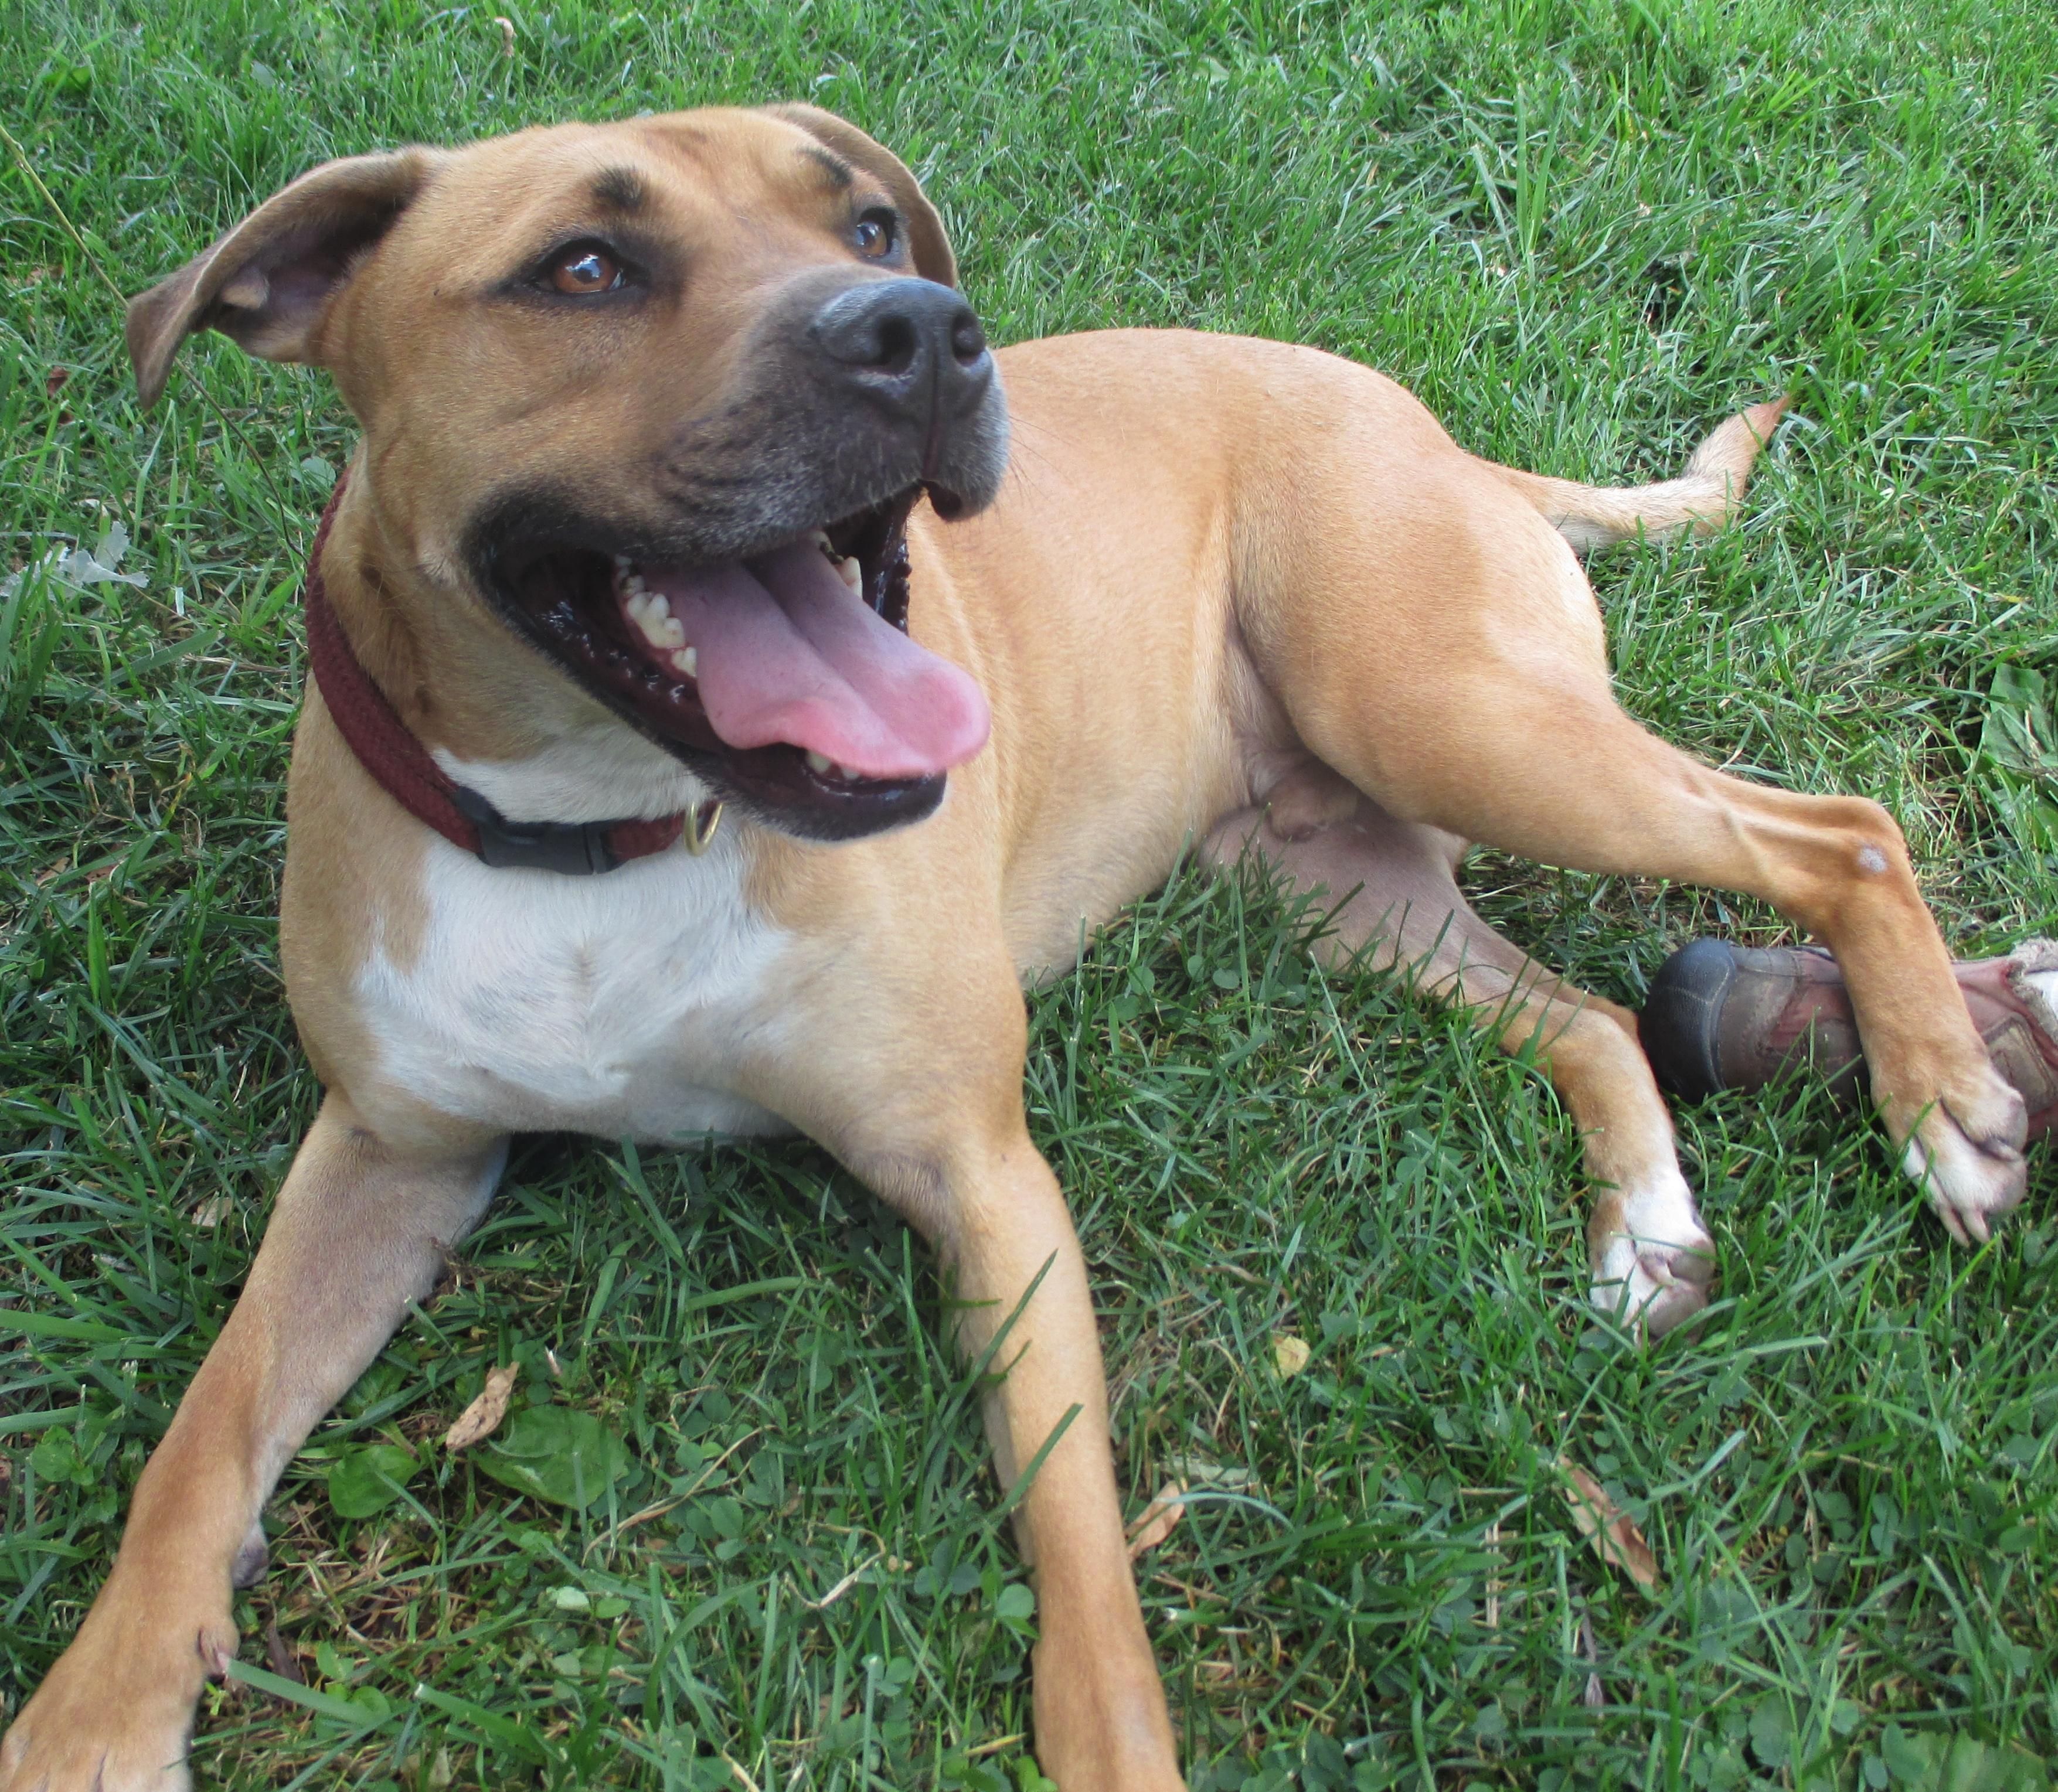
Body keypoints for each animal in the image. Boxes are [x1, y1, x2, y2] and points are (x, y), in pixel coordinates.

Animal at [4, 108, 2025, 1792]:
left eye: (862, 220)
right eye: (584, 267)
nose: (920, 326)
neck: (613, 825)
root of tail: (1437, 432)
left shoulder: (977, 1173)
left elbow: (1079, 1534)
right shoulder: (389, 1154)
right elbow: (208, 1422)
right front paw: (100, 1705)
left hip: (1448, 713)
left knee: (1839, 831)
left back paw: (1943, 1105)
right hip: (1344, 881)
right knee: (1596, 1011)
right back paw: (1647, 1229)